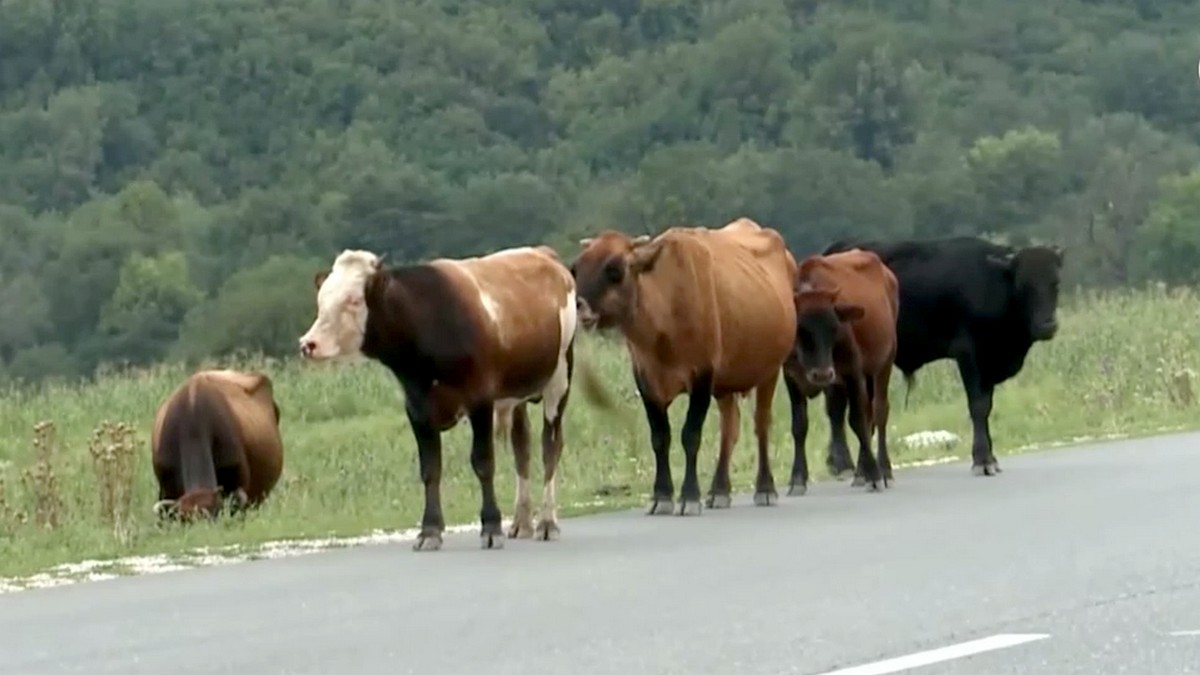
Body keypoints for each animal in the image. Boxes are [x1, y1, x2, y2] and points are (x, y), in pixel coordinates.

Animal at [295, 243, 604, 550]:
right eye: (321, 301)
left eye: (354, 301)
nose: (308, 344)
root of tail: (543, 253)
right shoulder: (416, 408)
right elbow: (430, 469)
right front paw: (429, 531)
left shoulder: (480, 400)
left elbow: (483, 463)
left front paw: (491, 527)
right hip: (516, 394)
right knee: (522, 447)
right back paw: (521, 522)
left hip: (559, 378)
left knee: (549, 446)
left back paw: (547, 523)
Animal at [568, 218, 796, 511]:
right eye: (575, 269)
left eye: (614, 269)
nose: (578, 306)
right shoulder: (646, 380)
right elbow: (660, 437)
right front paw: (662, 496)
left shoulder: (702, 377)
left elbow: (690, 435)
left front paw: (689, 496)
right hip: (726, 384)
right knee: (730, 428)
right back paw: (719, 490)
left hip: (769, 371)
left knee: (761, 424)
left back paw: (765, 488)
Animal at [782, 248, 897, 494]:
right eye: (800, 329)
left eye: (834, 328)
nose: (822, 374)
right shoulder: (791, 378)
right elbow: (799, 426)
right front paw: (797, 479)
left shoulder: (852, 371)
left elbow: (857, 421)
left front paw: (874, 475)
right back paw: (861, 472)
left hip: (884, 363)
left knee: (878, 413)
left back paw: (884, 470)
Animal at [820, 234, 1065, 475]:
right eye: (1024, 286)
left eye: (1055, 283)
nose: (1047, 326)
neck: (993, 282)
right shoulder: (968, 354)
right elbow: (978, 406)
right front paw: (982, 459)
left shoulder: (987, 362)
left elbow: (986, 406)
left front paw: (991, 458)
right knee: (835, 409)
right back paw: (842, 464)